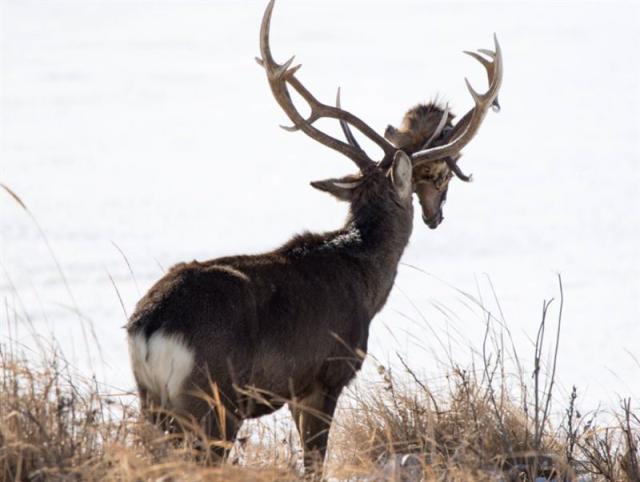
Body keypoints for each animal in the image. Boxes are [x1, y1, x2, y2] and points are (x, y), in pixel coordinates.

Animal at [125, 0, 502, 474]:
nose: (437, 216)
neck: (365, 278)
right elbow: (315, 462)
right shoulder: (325, 376)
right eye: (433, 178)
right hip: (212, 398)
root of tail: (149, 327)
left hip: (152, 401)